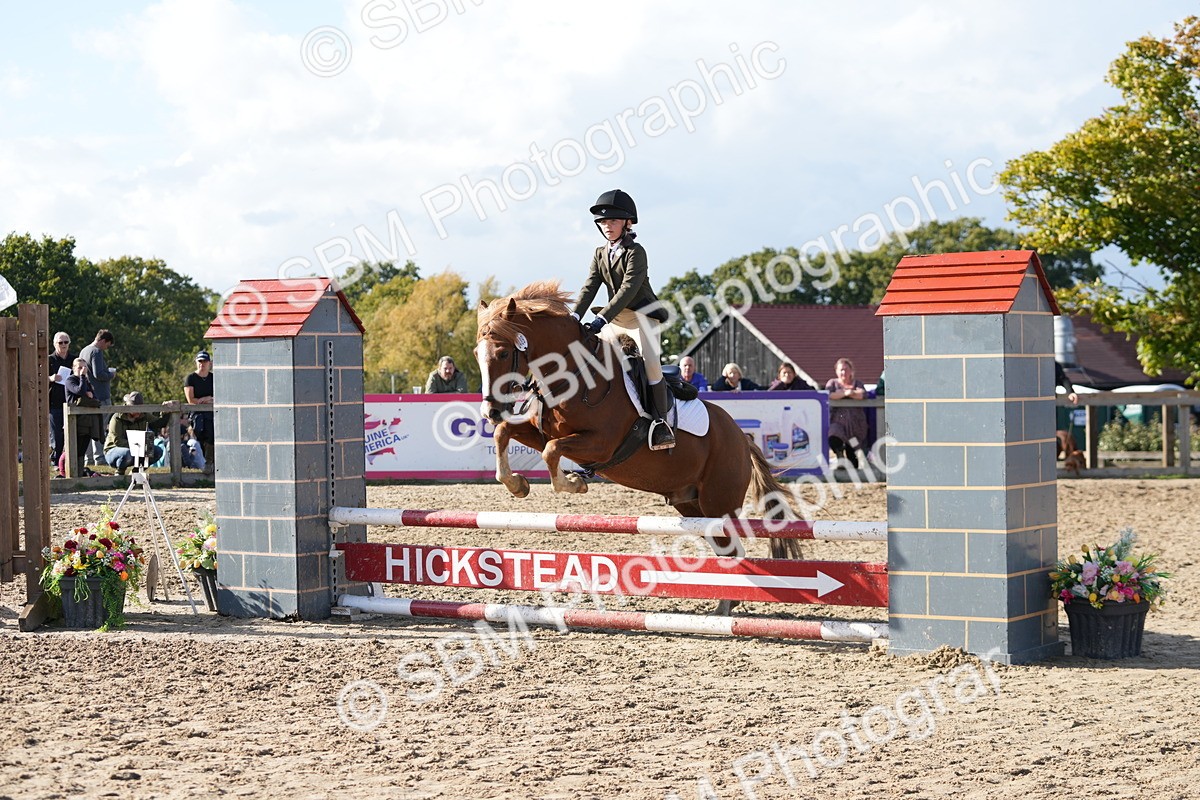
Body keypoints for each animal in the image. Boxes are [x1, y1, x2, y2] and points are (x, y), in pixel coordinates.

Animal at [474, 280, 802, 597]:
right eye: (478, 354)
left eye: (503, 353)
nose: (490, 411)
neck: (573, 373)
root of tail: (741, 438)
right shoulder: (541, 432)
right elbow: (505, 434)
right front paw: (517, 484)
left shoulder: (600, 443)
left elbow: (552, 452)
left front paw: (575, 483)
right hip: (690, 503)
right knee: (726, 551)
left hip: (719, 503)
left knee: (732, 549)